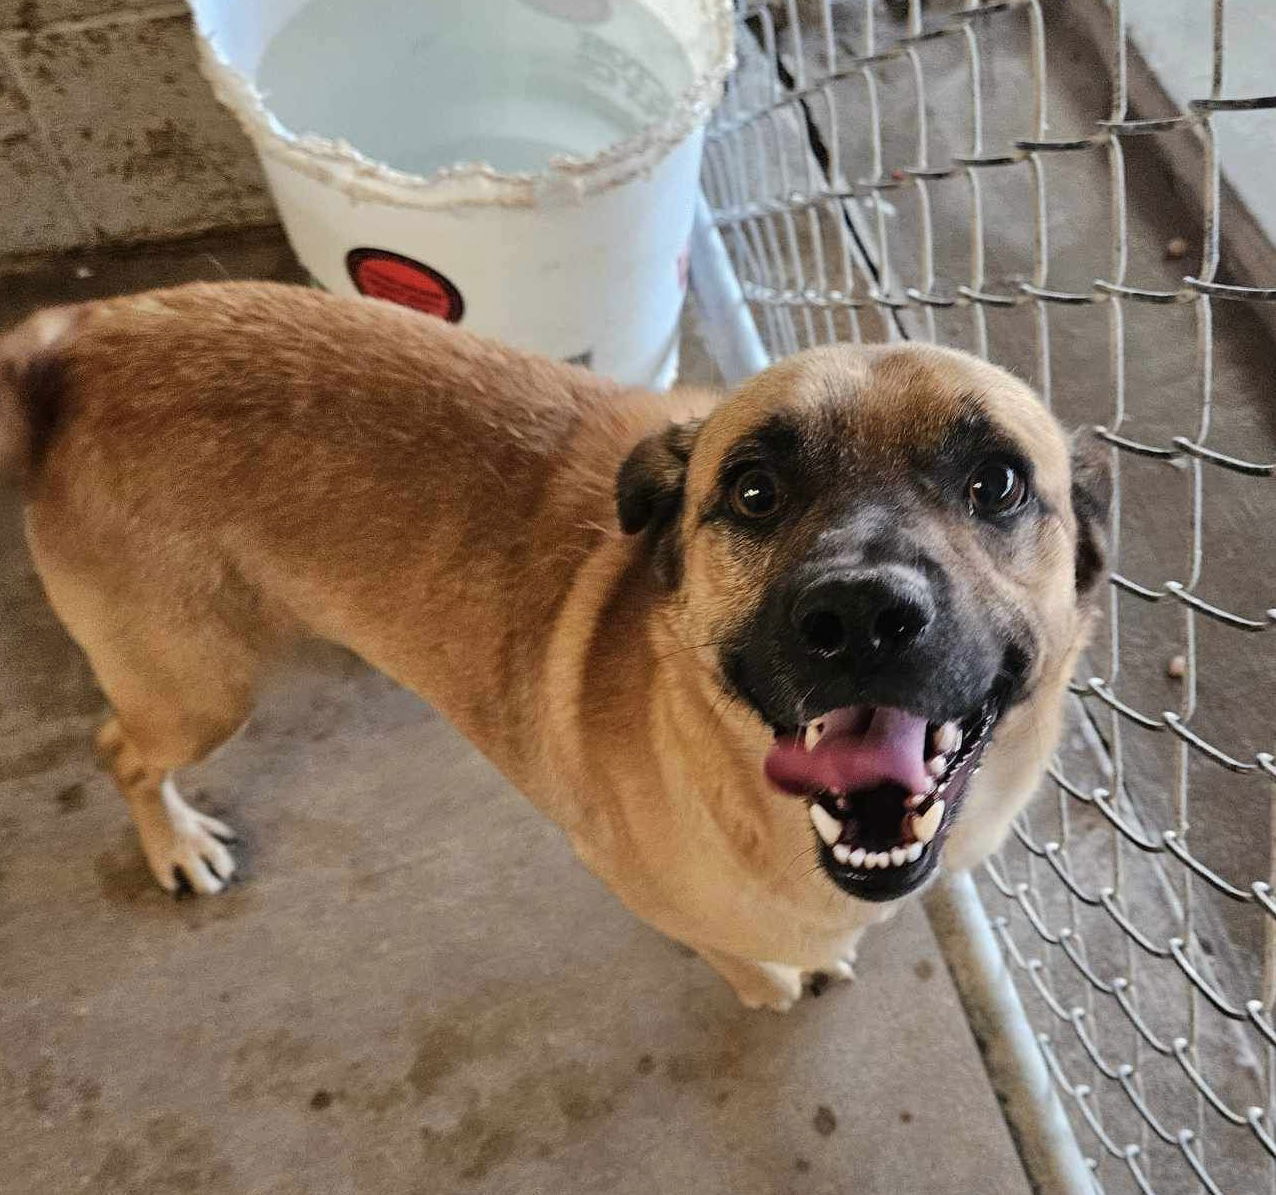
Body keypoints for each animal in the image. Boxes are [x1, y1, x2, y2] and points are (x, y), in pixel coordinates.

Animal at [0, 279, 1107, 1004]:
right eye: (754, 491)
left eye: (997, 483)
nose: (861, 617)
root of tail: (73, 342)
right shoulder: (641, 884)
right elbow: (748, 964)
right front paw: (774, 982)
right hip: (197, 688)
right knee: (117, 749)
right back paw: (175, 843)